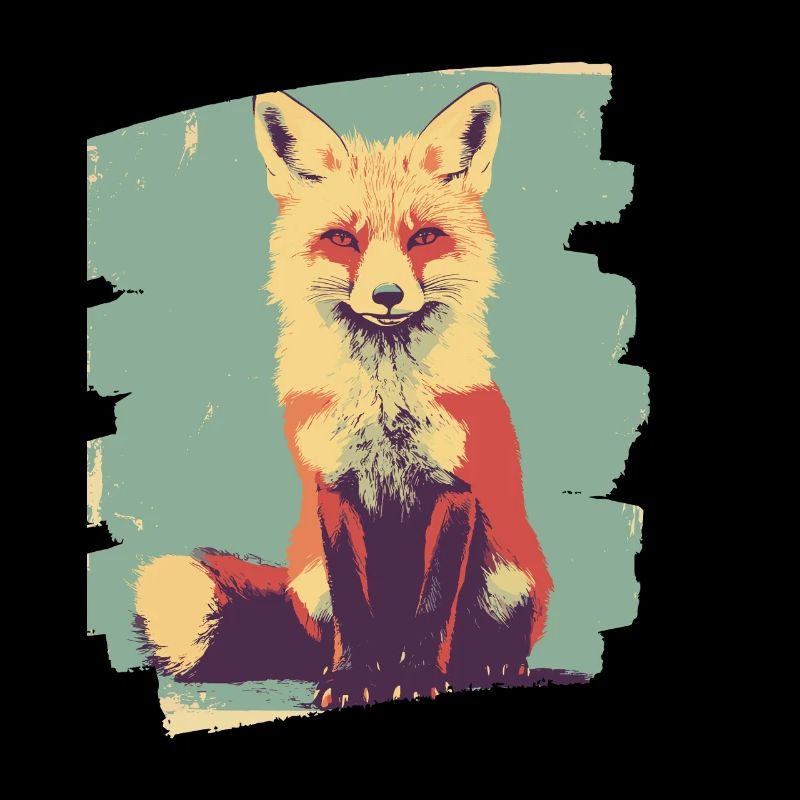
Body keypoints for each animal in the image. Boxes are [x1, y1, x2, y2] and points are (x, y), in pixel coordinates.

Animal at [133, 83, 553, 708]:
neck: (385, 405)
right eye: (342, 239)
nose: (387, 295)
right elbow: (353, 603)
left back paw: (488, 664)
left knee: (487, 634)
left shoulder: (455, 488)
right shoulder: (332, 487)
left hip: (510, 575)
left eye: (423, 237)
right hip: (310, 582)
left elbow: (434, 606)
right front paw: (352, 680)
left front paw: (421, 678)